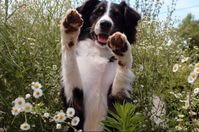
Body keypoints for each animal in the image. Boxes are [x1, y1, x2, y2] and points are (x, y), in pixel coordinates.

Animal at [60, 0, 140, 131]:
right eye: (97, 12)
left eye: (116, 15)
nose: (105, 24)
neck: (100, 53)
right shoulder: (74, 98)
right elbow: (70, 57)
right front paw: (70, 29)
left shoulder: (119, 102)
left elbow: (121, 76)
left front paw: (122, 49)